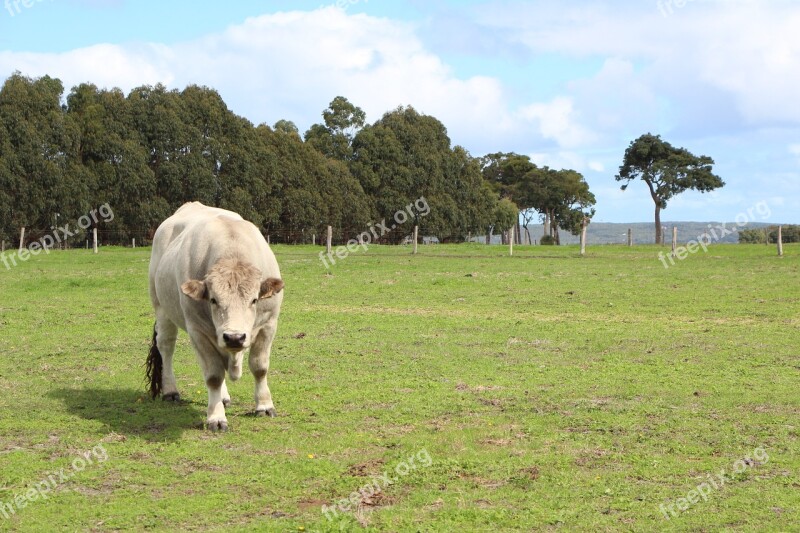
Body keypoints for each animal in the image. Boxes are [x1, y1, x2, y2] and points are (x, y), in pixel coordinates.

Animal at [147, 202, 284, 430]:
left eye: (254, 300)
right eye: (213, 300)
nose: (235, 337)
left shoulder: (268, 324)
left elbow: (259, 367)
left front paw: (264, 406)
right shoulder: (198, 331)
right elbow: (213, 375)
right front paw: (216, 417)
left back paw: (224, 396)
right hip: (161, 307)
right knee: (166, 346)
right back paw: (170, 391)